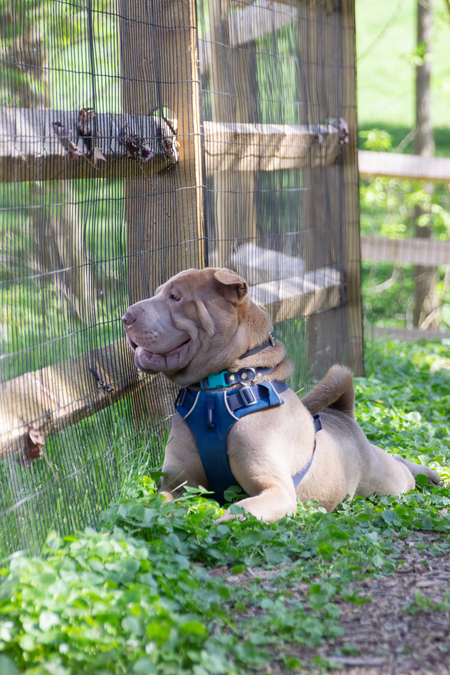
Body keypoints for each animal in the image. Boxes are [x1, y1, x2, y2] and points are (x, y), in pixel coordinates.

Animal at [122, 270, 440, 524]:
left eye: (176, 297)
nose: (125, 317)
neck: (218, 391)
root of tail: (342, 414)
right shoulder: (176, 483)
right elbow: (156, 502)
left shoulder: (276, 489)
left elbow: (236, 511)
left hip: (383, 481)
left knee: (401, 468)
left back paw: (431, 475)